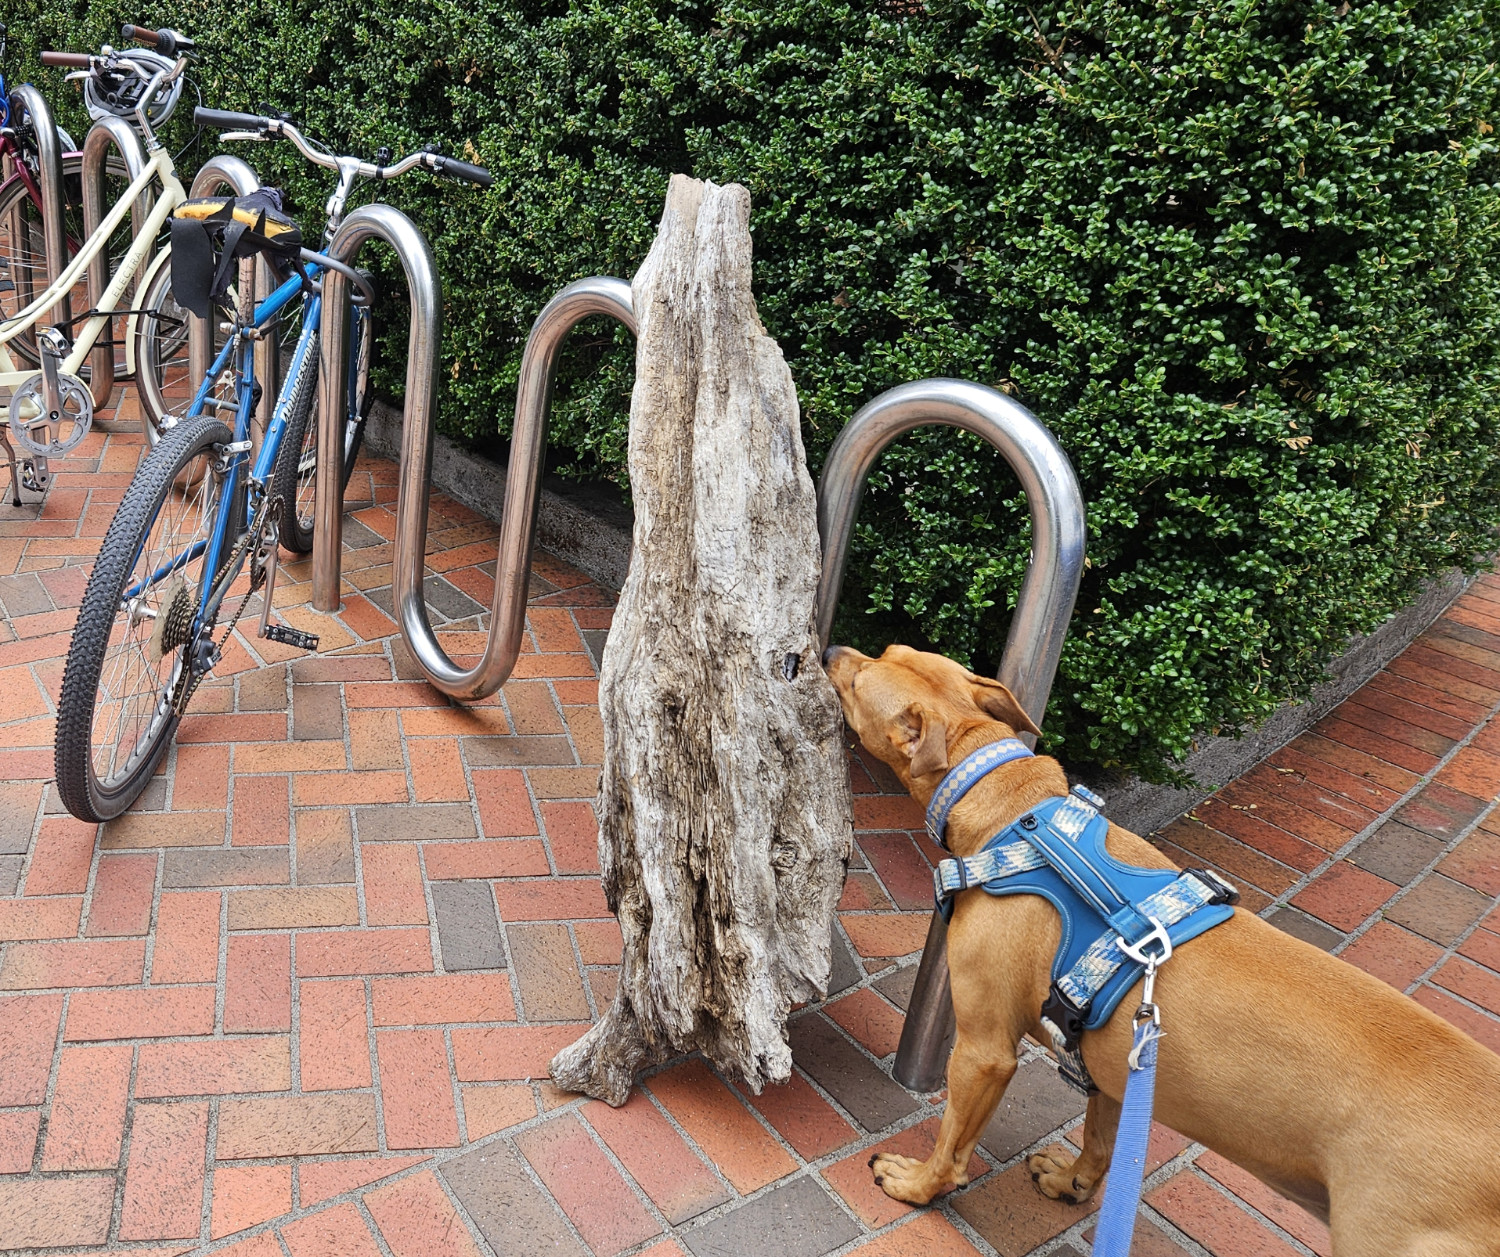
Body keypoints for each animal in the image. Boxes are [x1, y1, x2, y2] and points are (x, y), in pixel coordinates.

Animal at [828, 645, 1500, 1257]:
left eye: (859, 681)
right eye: (886, 651)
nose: (833, 649)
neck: (1015, 811)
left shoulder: (984, 1050)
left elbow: (951, 1144)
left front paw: (916, 1185)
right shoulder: (1110, 1064)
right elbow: (1101, 1143)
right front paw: (1071, 1184)